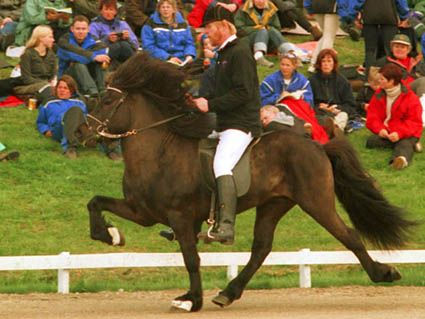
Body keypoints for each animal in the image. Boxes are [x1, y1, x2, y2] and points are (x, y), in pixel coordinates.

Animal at [83, 52, 414, 312]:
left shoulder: (179, 217)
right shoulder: (143, 212)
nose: (81, 133)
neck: (159, 151)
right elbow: (95, 202)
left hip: (316, 201)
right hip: (274, 204)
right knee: (261, 249)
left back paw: (384, 273)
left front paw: (192, 300)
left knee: (349, 236)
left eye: (108, 100)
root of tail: (316, 143)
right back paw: (228, 293)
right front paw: (111, 235)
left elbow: (191, 259)